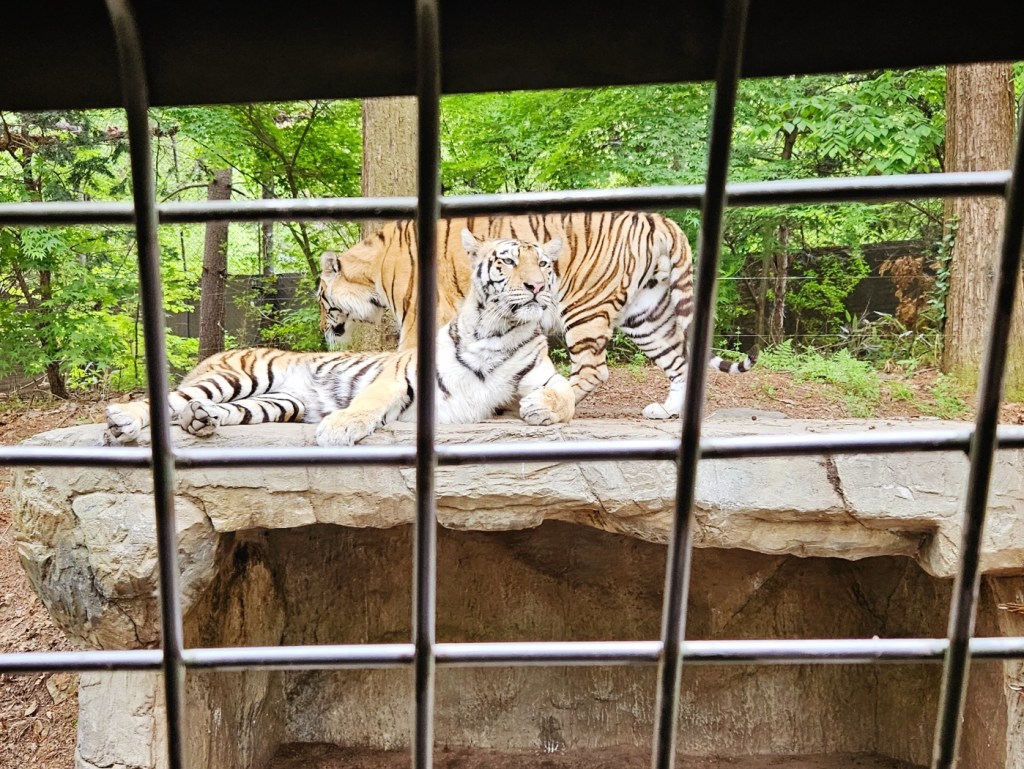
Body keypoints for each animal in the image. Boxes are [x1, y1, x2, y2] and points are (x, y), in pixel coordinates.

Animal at [104, 234, 574, 447]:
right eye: (506, 262)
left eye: (543, 264)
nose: (536, 287)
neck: (498, 331)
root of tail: (219, 351)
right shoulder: (401, 375)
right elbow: (368, 401)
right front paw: (339, 427)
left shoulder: (540, 376)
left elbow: (566, 392)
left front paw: (540, 409)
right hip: (239, 377)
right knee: (166, 401)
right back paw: (123, 421)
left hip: (277, 402)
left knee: (208, 410)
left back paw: (201, 421)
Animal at [319, 212, 756, 420]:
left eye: (322, 300)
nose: (325, 331)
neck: (372, 272)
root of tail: (660, 220)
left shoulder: (419, 317)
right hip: (646, 317)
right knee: (679, 363)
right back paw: (668, 413)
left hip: (584, 307)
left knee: (593, 371)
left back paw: (539, 403)